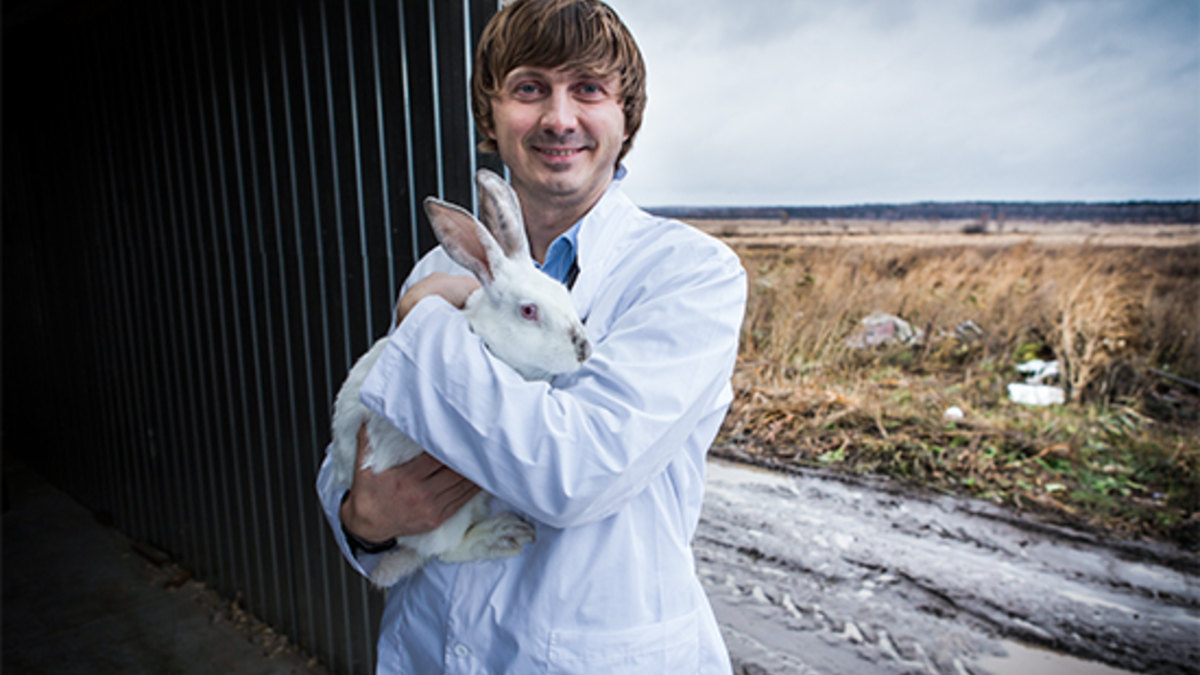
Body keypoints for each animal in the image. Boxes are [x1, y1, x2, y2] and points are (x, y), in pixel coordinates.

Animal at [328, 166, 590, 583]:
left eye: (564, 292)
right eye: (528, 311)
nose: (584, 349)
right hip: (444, 519)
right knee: (444, 550)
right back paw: (501, 534)